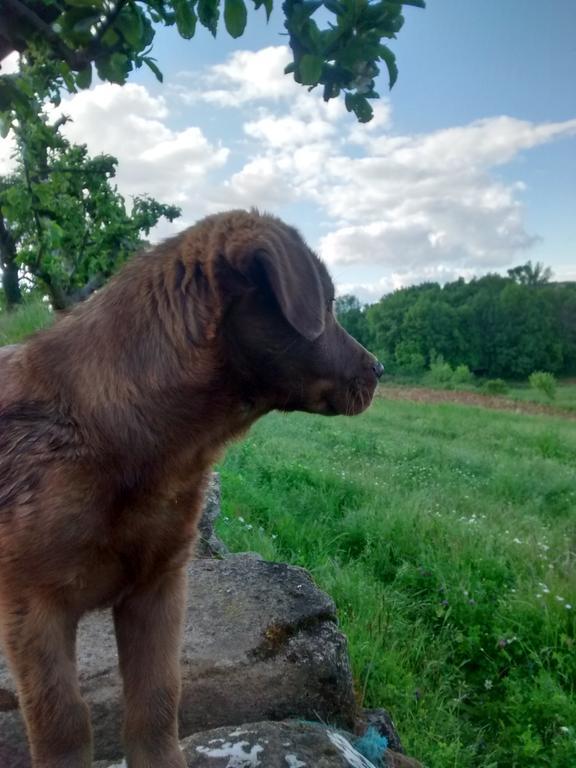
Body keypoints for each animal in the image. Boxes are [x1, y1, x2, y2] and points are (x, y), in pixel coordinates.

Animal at [0, 207, 382, 764]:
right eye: (328, 304)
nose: (380, 369)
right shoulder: (34, 607)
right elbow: (63, 722)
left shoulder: (158, 587)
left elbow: (157, 701)